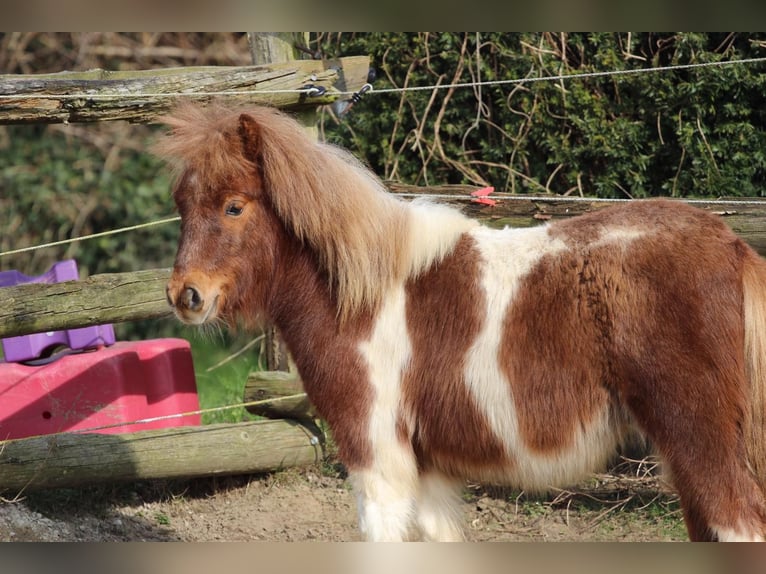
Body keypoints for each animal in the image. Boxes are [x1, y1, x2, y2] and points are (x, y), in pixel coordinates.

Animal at [159, 103, 766, 544]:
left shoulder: (377, 461)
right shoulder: (427, 471)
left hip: (701, 444)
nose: (185, 295)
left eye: (234, 206)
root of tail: (731, 246)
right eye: (183, 205)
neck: (362, 294)